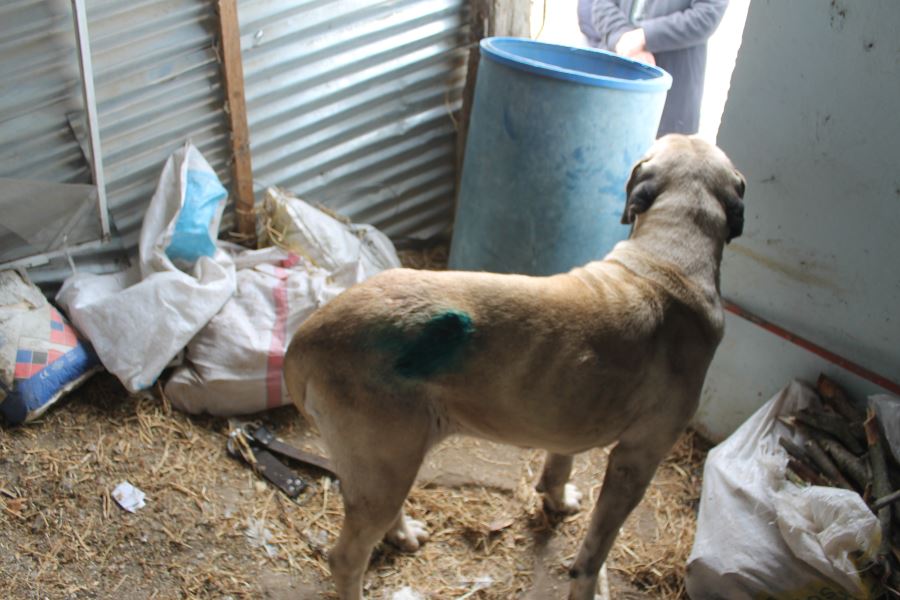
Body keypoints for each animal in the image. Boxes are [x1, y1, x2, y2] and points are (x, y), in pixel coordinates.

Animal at [284, 134, 744, 596]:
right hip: (385, 463)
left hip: (389, 464)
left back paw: (403, 533)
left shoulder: (568, 420)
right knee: (346, 558)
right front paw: (587, 584)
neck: (669, 255)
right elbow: (595, 551)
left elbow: (559, 464)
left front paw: (557, 499)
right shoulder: (636, 459)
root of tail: (306, 339)